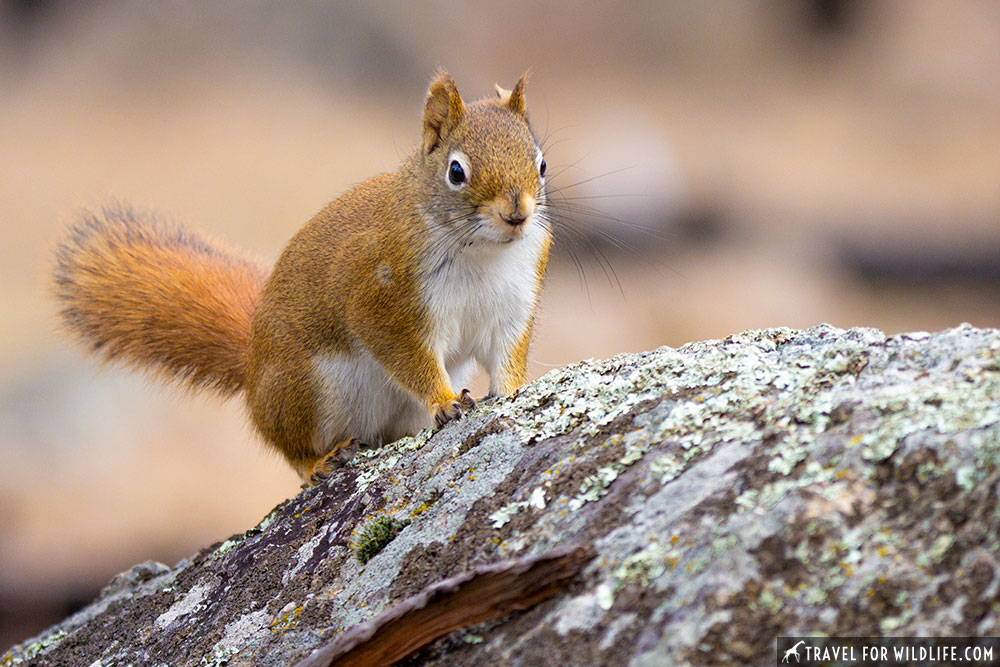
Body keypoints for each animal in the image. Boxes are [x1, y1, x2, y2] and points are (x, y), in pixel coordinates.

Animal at [50, 69, 552, 486]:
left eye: (541, 163)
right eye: (456, 171)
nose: (517, 213)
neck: (482, 254)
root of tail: (252, 370)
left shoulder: (515, 301)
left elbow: (507, 356)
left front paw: (513, 392)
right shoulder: (380, 298)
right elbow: (405, 355)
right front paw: (445, 401)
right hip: (306, 391)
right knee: (291, 450)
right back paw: (321, 462)